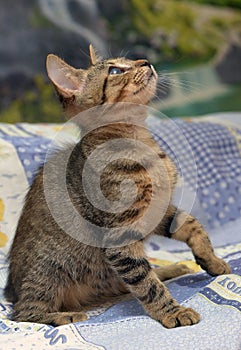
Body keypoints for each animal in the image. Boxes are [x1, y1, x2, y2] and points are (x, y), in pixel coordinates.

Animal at [3, 45, 230, 326]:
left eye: (129, 60)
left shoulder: (156, 210)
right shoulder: (119, 235)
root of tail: (11, 290)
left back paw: (171, 268)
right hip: (52, 268)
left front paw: (211, 259)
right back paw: (64, 315)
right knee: (23, 312)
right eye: (114, 71)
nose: (146, 61)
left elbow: (192, 225)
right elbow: (146, 284)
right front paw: (172, 312)